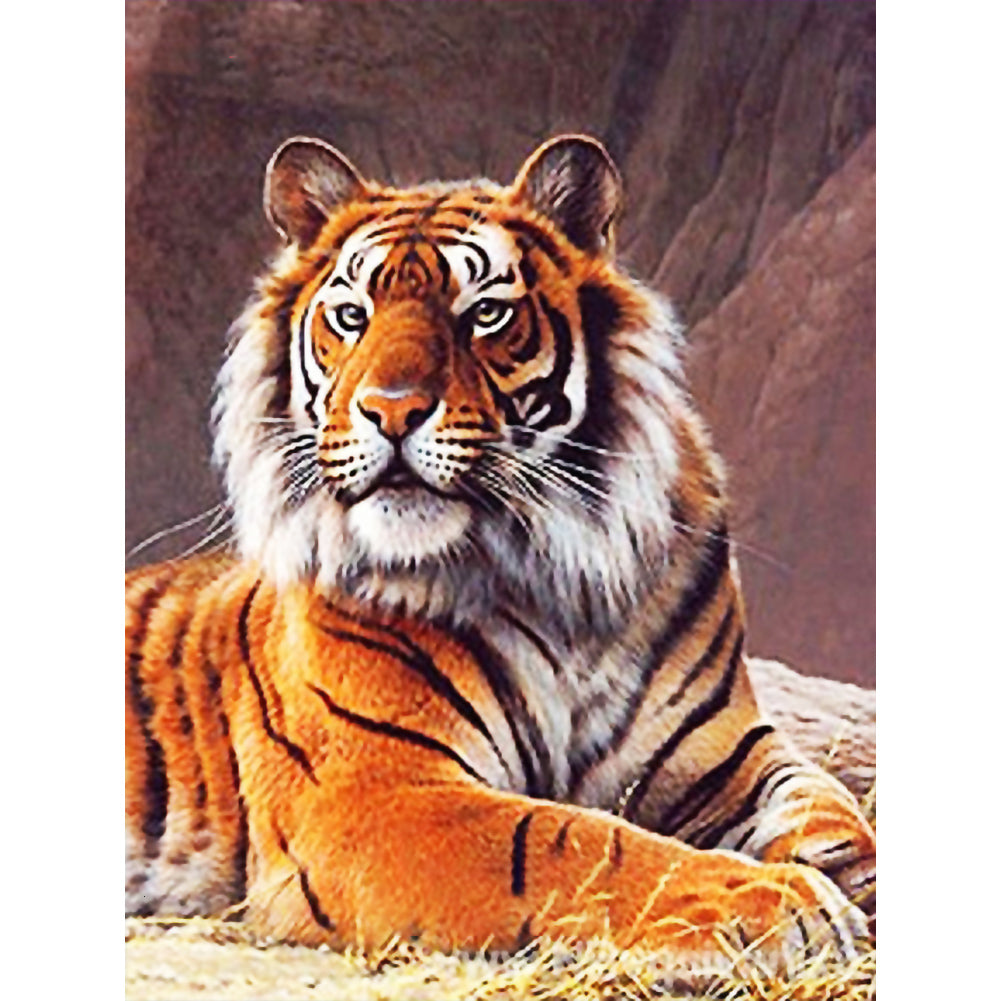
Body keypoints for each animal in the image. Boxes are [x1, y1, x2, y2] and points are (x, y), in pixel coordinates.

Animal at [126, 134, 875, 976]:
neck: (559, 573)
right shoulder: (372, 795)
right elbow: (575, 841)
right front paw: (779, 903)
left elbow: (828, 809)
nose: (389, 411)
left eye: (483, 313)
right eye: (351, 317)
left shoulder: (722, 751)